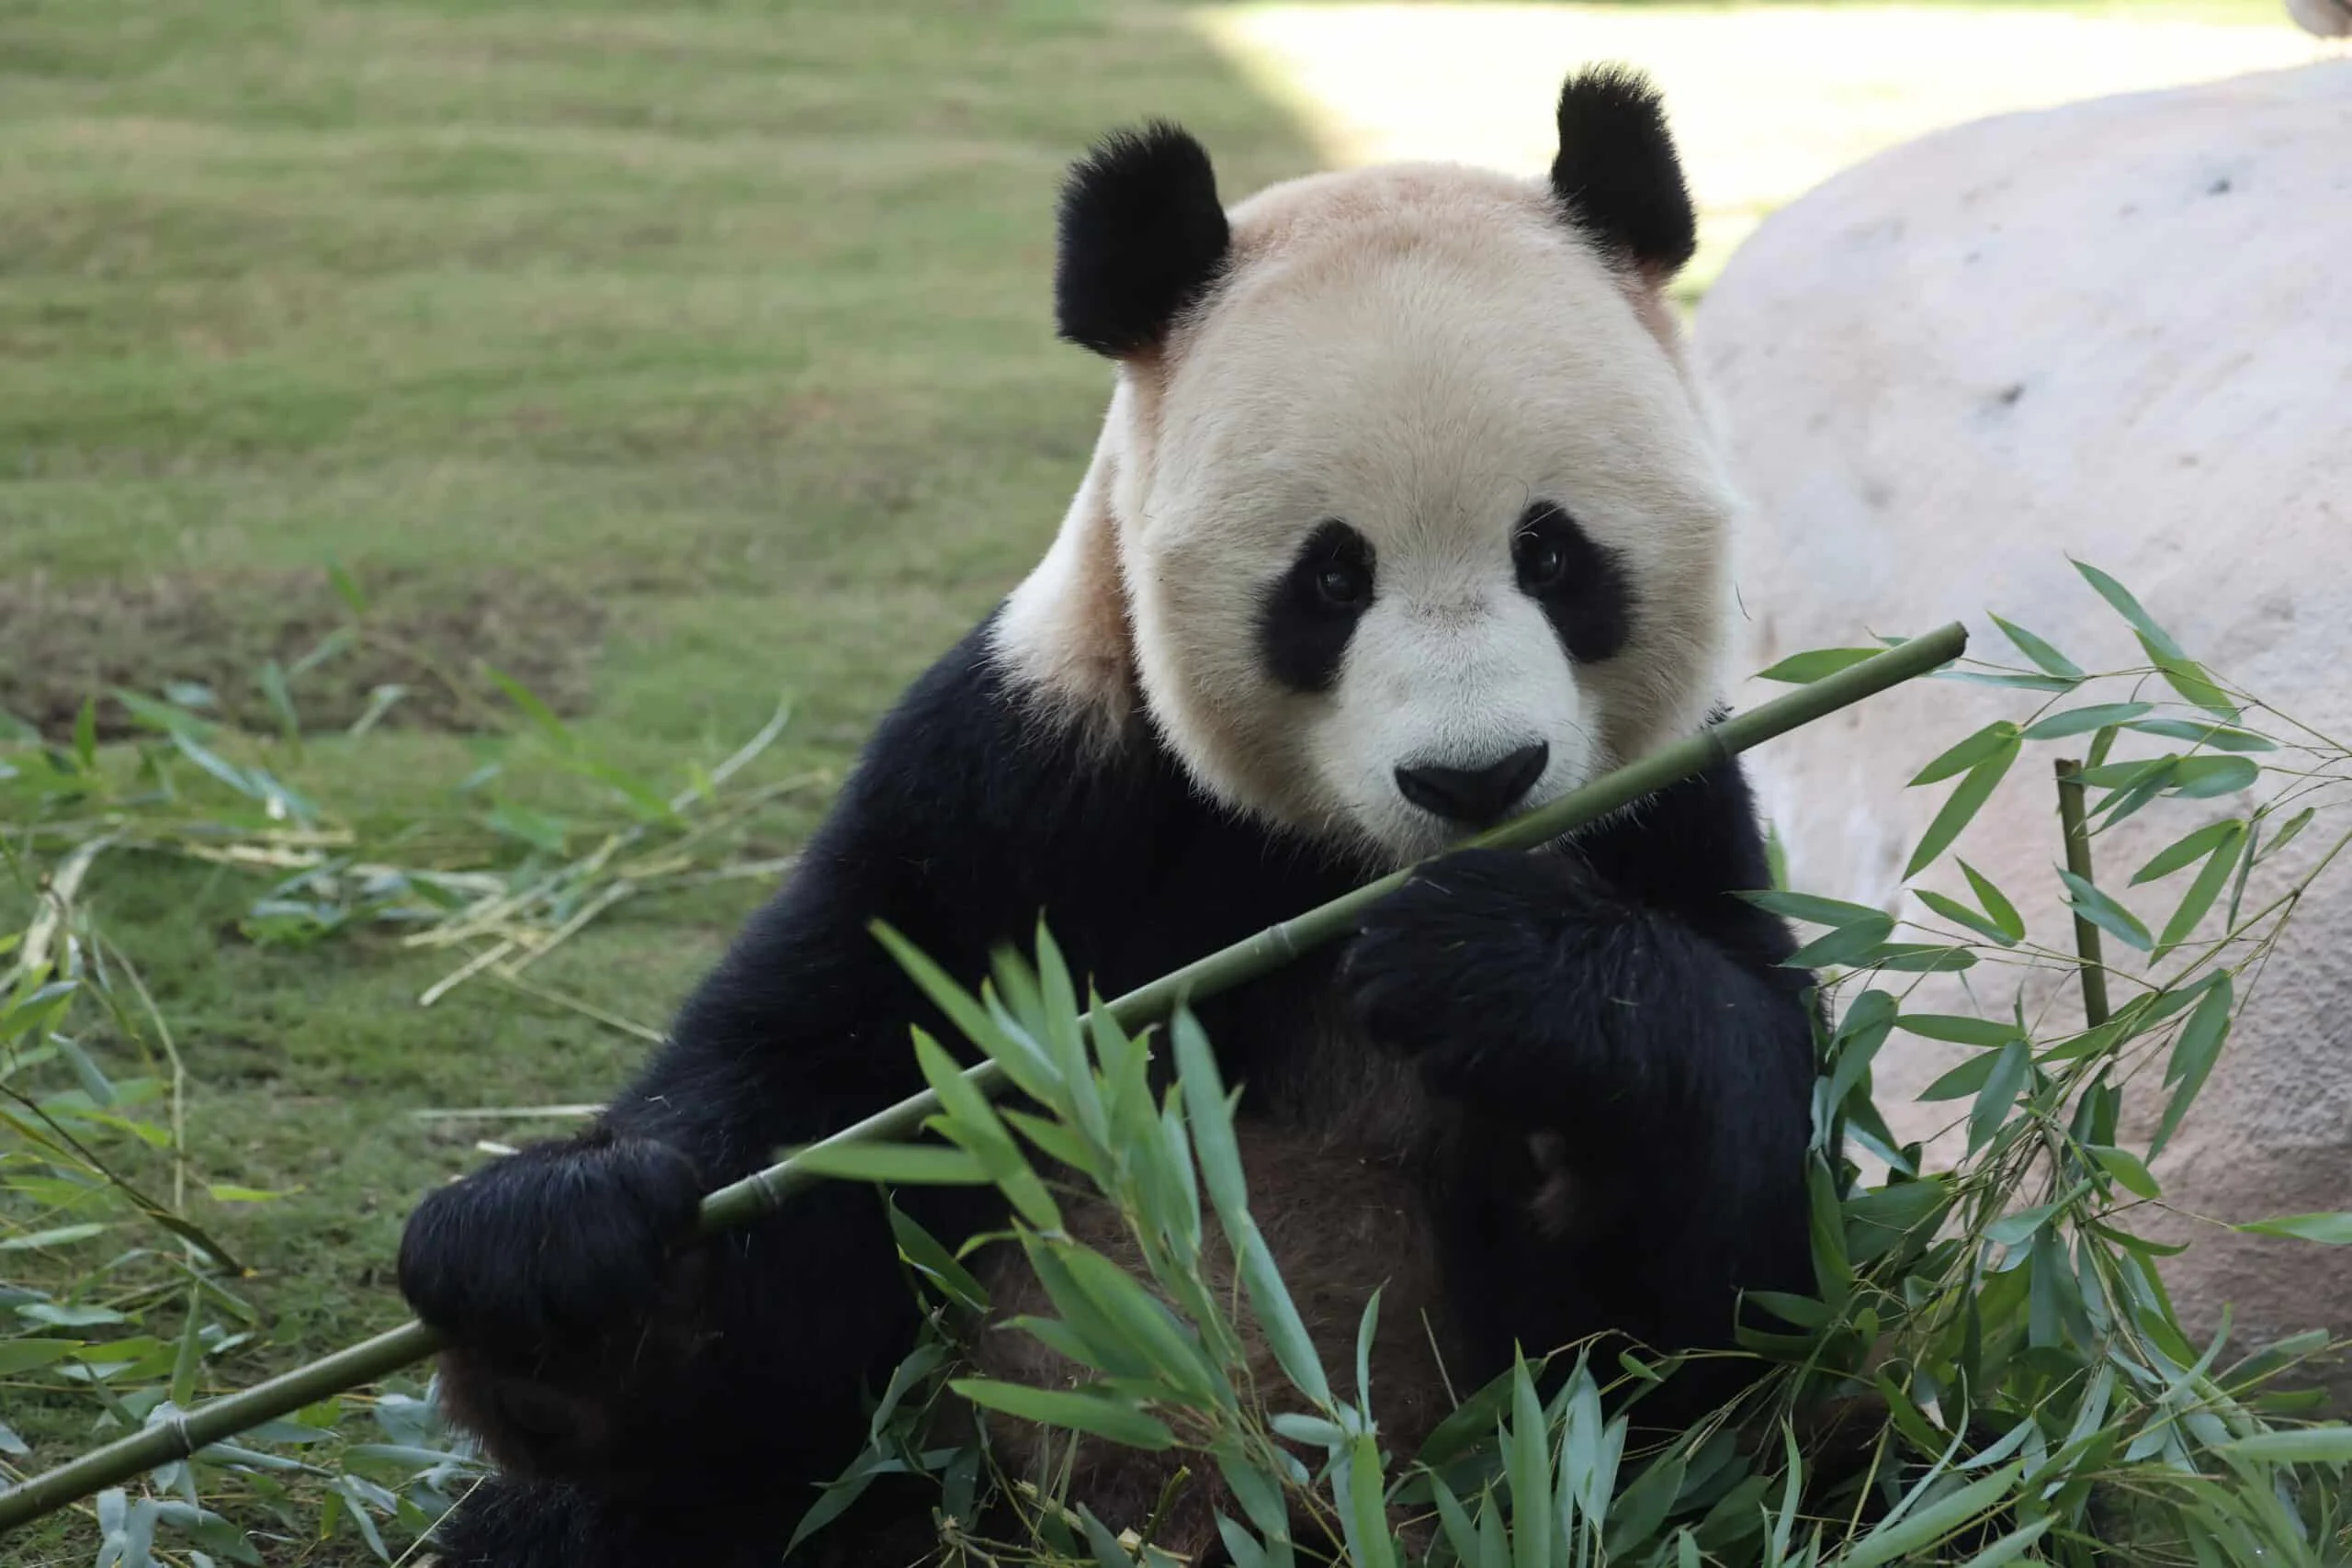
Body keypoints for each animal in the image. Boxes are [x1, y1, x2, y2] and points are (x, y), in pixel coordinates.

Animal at [394, 64, 1819, 1567]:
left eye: (1552, 553)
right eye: (1331, 579)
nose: (1475, 779)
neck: (1332, 867)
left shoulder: (1665, 809)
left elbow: (1729, 1294)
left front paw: (1503, 972)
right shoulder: (1013, 791)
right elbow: (820, 1144)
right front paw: (549, 1254)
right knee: (590, 1522)